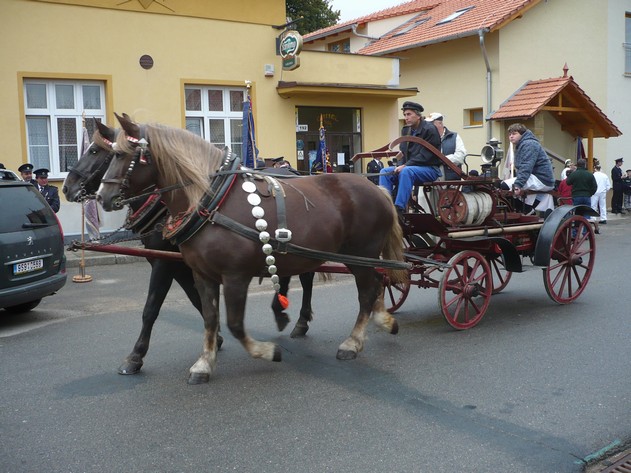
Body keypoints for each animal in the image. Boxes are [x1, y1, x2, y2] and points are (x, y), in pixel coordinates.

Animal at [96, 113, 408, 384]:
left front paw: (268, 351)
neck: (212, 200)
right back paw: (383, 320)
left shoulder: (235, 275)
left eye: (120, 154)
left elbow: (234, 323)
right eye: (108, 153)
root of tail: (377, 190)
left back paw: (352, 342)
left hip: (360, 254)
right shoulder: (201, 274)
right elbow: (210, 317)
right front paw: (204, 363)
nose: (102, 197)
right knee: (376, 283)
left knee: (367, 290)